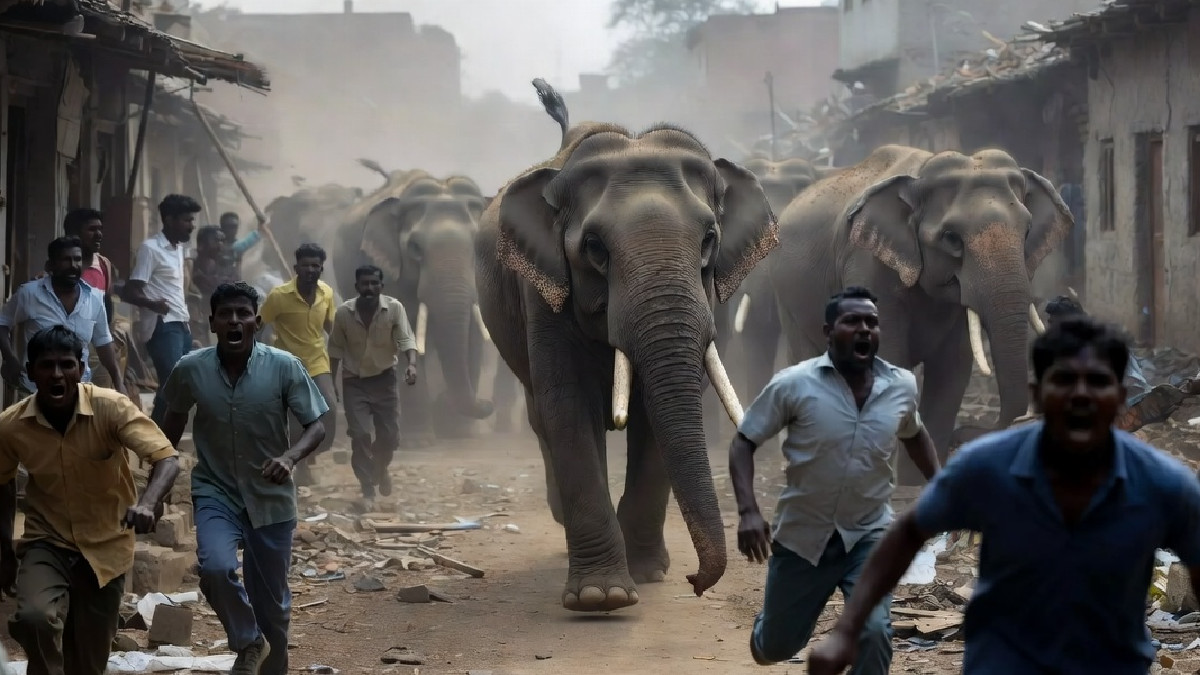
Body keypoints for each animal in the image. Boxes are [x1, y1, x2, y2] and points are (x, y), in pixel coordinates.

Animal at [333, 165, 496, 447]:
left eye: (478, 245)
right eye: (415, 248)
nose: (488, 404)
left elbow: (473, 336)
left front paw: (461, 434)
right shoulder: (388, 275)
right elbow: (399, 336)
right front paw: (421, 441)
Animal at [476, 78, 778, 612]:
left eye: (709, 239)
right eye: (594, 248)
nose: (695, 582)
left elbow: (659, 414)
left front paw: (648, 573)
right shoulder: (543, 293)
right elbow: (567, 407)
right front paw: (602, 597)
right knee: (542, 418)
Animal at [765, 144, 1071, 485]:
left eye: (1027, 231)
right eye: (951, 238)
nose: (964, 434)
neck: (920, 174)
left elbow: (952, 369)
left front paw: (919, 481)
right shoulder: (868, 265)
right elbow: (890, 356)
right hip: (788, 298)